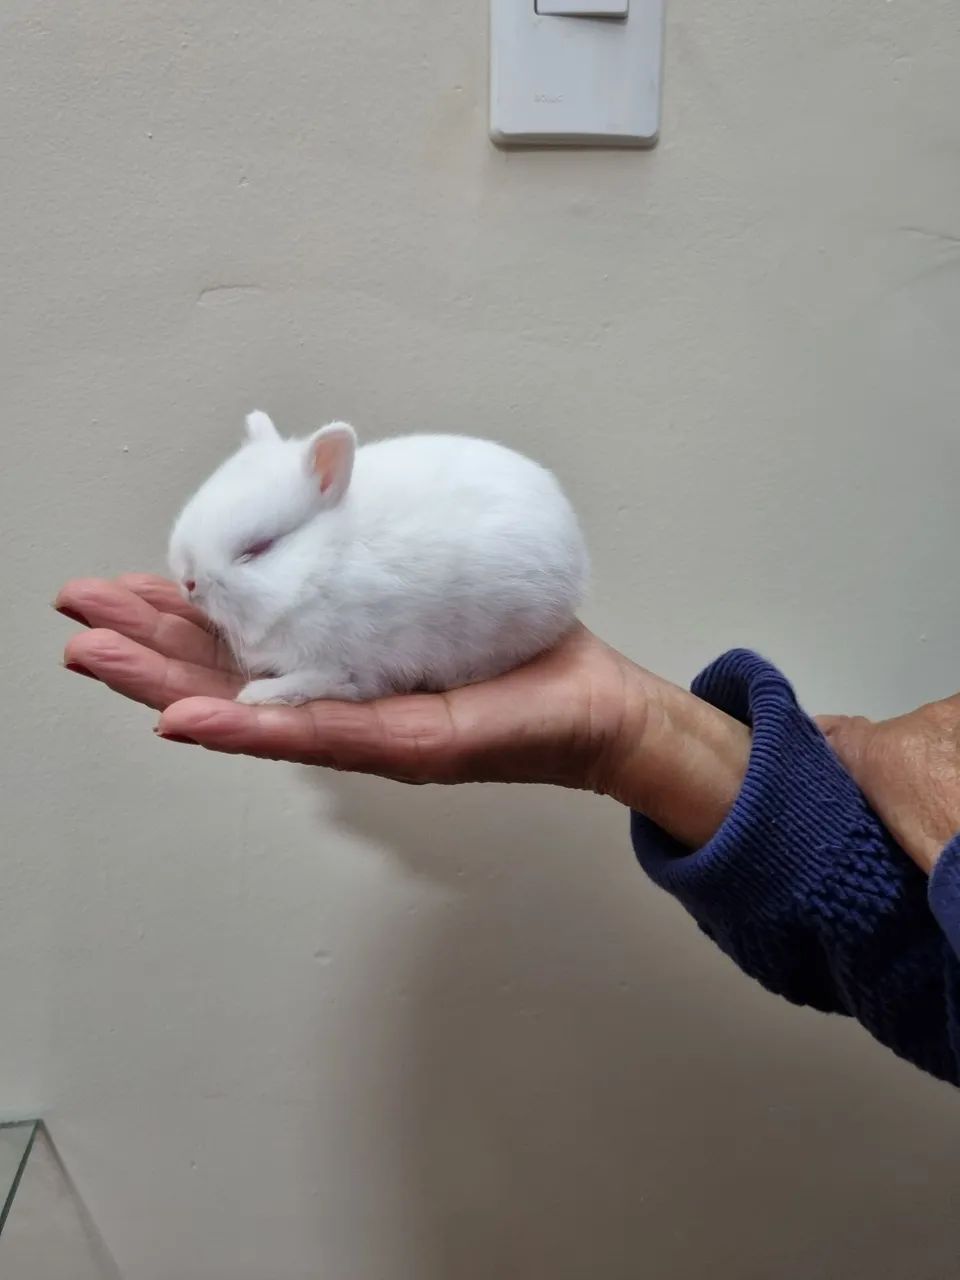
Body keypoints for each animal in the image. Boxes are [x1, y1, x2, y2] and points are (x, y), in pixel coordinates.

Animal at [167, 411, 589, 705]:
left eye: (258, 548)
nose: (189, 583)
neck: (320, 566)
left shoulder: (345, 659)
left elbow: (325, 681)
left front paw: (259, 696)